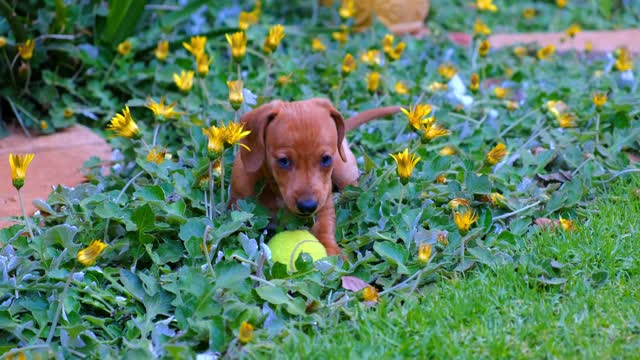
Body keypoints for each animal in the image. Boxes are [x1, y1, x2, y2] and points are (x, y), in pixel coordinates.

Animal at [230, 98, 400, 255]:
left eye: (326, 159)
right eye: (283, 161)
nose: (308, 206)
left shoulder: (324, 202)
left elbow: (325, 226)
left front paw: (333, 252)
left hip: (344, 171)